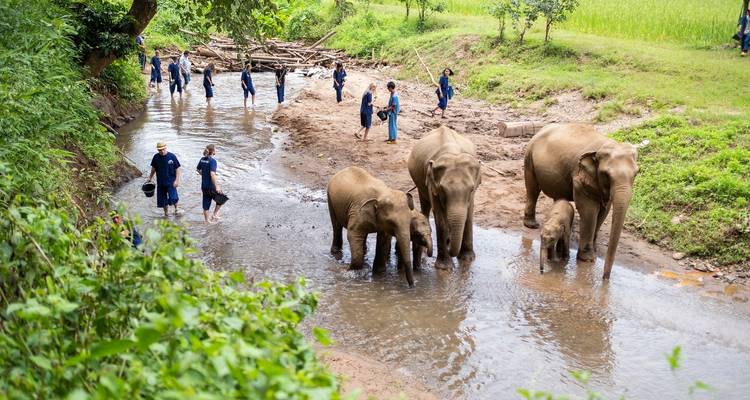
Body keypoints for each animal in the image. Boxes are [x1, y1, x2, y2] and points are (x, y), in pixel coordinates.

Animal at [408, 126, 481, 270]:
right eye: (442, 189)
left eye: (471, 189)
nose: (453, 253)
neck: (453, 153)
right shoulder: (432, 184)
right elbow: (440, 217)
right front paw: (444, 267)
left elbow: (469, 214)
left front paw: (468, 259)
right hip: (420, 183)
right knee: (425, 205)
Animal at [523, 123, 638, 279]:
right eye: (606, 174)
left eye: (637, 173)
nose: (605, 279)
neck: (604, 145)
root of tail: (541, 129)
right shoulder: (579, 178)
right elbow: (589, 211)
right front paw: (588, 259)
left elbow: (604, 211)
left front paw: (594, 249)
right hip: (529, 157)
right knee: (532, 189)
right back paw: (532, 225)